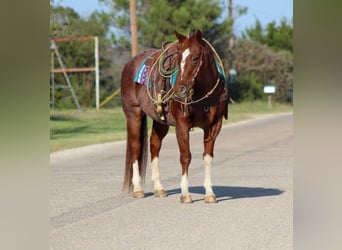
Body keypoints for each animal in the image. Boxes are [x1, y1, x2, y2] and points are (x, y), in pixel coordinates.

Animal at [121, 29, 228, 203]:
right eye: (178, 58)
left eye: (195, 58)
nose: (179, 90)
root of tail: (130, 63)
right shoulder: (182, 125)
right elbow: (185, 156)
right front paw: (185, 193)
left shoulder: (213, 127)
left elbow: (207, 157)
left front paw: (209, 193)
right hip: (133, 114)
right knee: (135, 147)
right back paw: (138, 189)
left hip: (160, 121)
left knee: (154, 145)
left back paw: (159, 188)